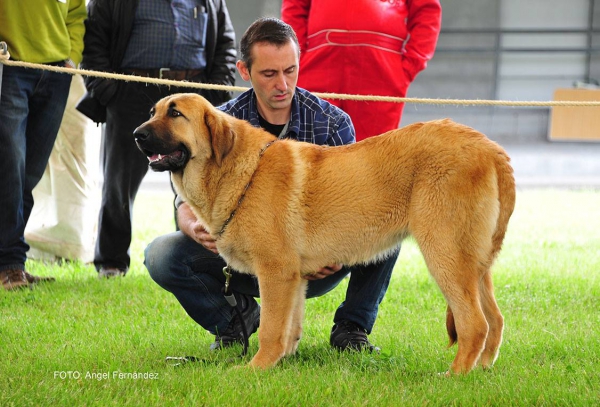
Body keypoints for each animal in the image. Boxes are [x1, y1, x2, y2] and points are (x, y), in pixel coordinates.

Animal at [135, 93, 516, 376]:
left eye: (175, 113)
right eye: (153, 112)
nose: (137, 134)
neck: (240, 171)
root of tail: (489, 147)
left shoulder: (275, 273)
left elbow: (271, 329)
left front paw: (256, 369)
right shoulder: (293, 280)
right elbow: (288, 329)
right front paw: (280, 365)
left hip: (445, 255)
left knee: (474, 324)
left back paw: (454, 376)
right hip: (474, 264)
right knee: (495, 320)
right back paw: (483, 370)